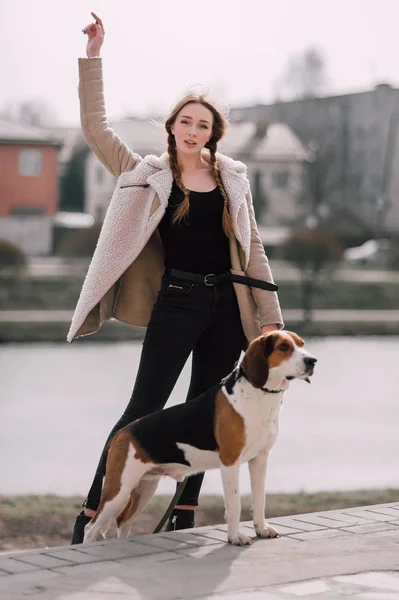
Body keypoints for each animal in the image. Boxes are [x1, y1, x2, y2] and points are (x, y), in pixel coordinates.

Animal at [85, 330, 318, 548]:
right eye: (283, 347)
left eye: (301, 343)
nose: (312, 361)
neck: (258, 395)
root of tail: (122, 432)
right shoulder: (230, 463)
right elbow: (234, 504)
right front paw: (235, 537)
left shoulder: (260, 459)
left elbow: (259, 499)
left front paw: (261, 529)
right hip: (119, 489)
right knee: (91, 527)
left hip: (145, 487)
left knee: (122, 520)